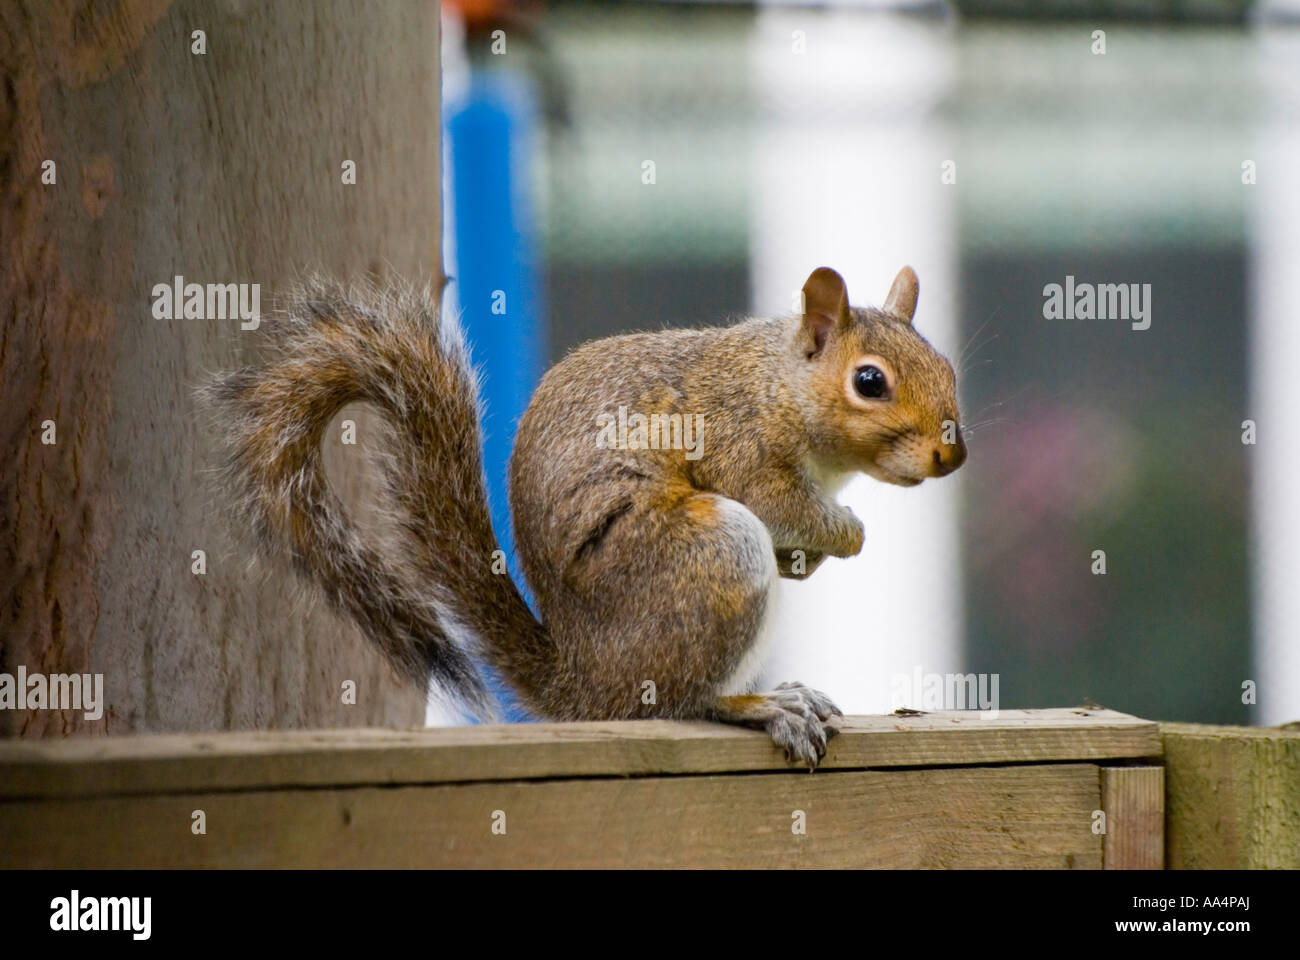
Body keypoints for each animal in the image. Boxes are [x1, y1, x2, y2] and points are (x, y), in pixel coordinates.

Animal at [208, 265, 967, 764]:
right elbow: (784, 505)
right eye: (869, 382)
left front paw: (814, 557)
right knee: (675, 702)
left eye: (947, 366)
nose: (951, 455)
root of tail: (582, 682)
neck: (777, 384)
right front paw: (849, 532)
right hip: (712, 553)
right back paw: (760, 705)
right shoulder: (740, 448)